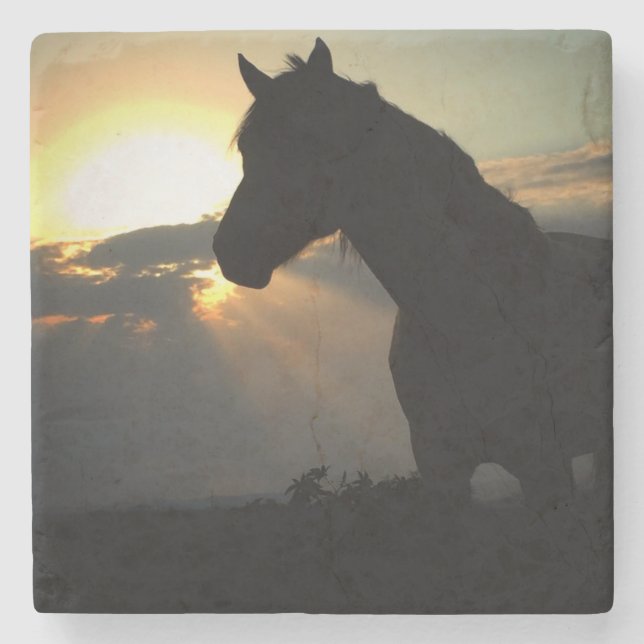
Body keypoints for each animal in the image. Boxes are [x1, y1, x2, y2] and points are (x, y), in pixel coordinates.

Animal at [212, 38, 612, 525]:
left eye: (312, 138)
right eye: (247, 147)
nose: (230, 251)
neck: (470, 322)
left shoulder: (545, 470)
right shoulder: (441, 474)